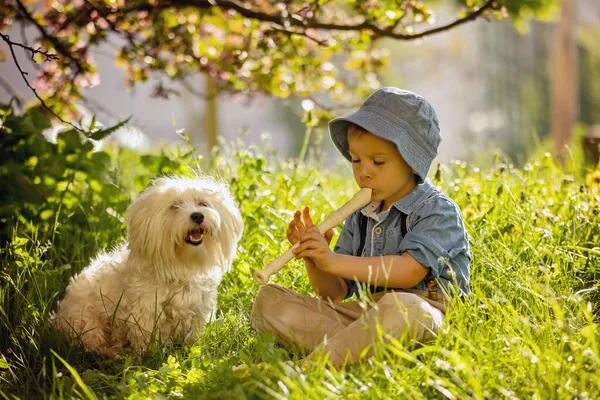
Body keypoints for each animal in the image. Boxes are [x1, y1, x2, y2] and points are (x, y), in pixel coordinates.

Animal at [51, 177, 244, 358]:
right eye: (175, 207)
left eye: (203, 203)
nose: (197, 216)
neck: (181, 266)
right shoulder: (146, 310)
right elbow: (147, 338)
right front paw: (149, 356)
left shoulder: (199, 308)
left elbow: (194, 336)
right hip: (87, 321)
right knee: (92, 343)